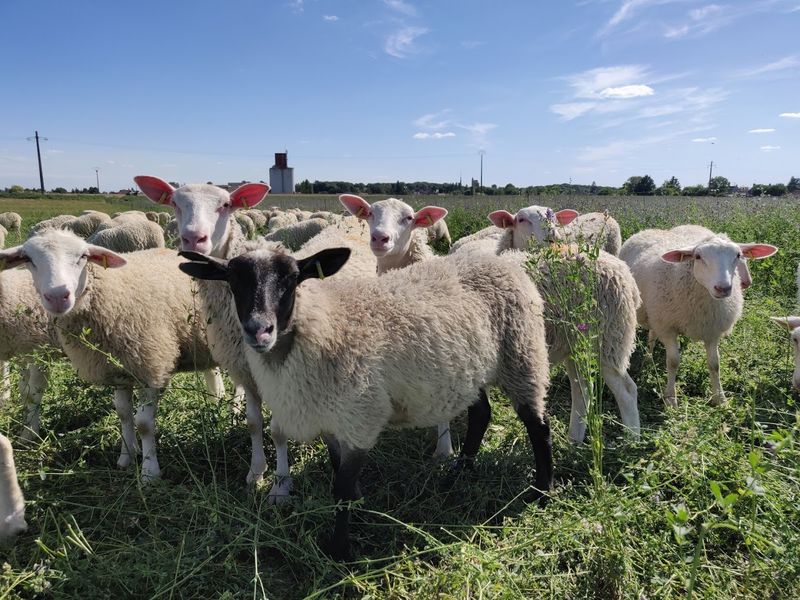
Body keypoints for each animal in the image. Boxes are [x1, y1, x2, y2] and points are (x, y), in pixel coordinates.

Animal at [0, 231, 219, 482]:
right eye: (28, 259)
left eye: (83, 256)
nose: (57, 296)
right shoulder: (119, 370)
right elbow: (123, 414)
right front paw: (127, 456)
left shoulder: (152, 366)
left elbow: (144, 423)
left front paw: (149, 472)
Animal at [134, 176, 376, 494]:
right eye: (175, 203)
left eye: (225, 205)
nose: (194, 239)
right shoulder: (246, 372)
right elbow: (253, 423)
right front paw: (256, 472)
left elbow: (279, 429)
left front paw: (281, 484)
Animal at [180, 241, 552, 560]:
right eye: (233, 280)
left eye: (291, 279)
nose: (259, 330)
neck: (322, 324)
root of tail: (501, 263)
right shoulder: (333, 420)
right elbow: (336, 469)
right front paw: (357, 504)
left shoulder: (361, 416)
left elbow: (341, 486)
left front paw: (340, 549)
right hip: (470, 370)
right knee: (481, 414)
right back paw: (459, 471)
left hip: (523, 353)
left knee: (538, 425)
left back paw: (541, 492)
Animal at [620, 226, 776, 408]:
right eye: (698, 257)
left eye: (738, 255)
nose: (723, 288)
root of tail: (652, 229)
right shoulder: (667, 327)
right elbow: (673, 361)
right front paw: (670, 398)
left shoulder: (712, 330)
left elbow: (715, 364)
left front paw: (720, 398)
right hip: (655, 314)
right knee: (652, 335)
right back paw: (648, 358)